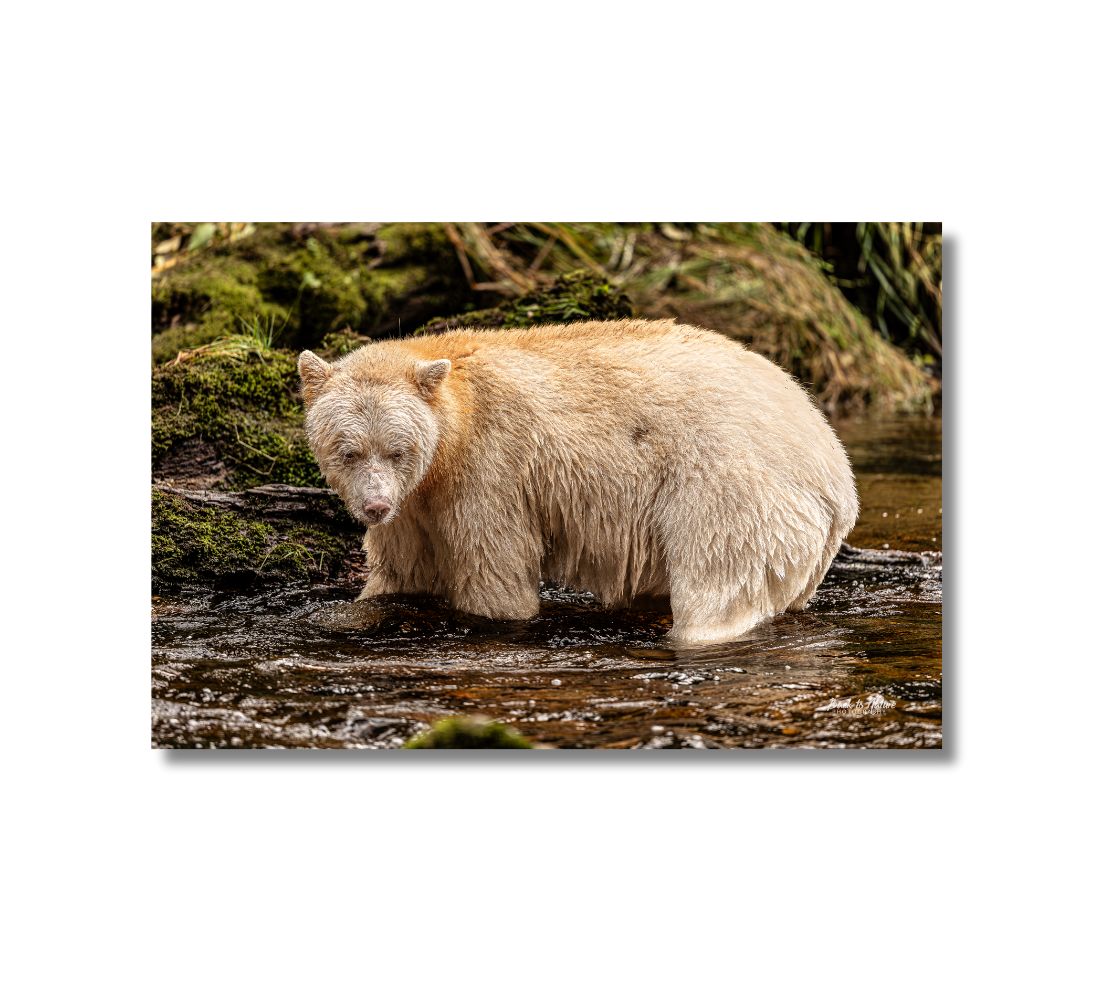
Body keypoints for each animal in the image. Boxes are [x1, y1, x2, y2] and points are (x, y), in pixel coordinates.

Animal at [297, 322, 855, 649]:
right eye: (348, 450)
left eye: (398, 449)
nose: (374, 506)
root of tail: (836, 471)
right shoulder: (415, 503)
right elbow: (399, 573)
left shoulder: (489, 470)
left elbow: (494, 572)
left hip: (731, 491)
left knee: (716, 583)